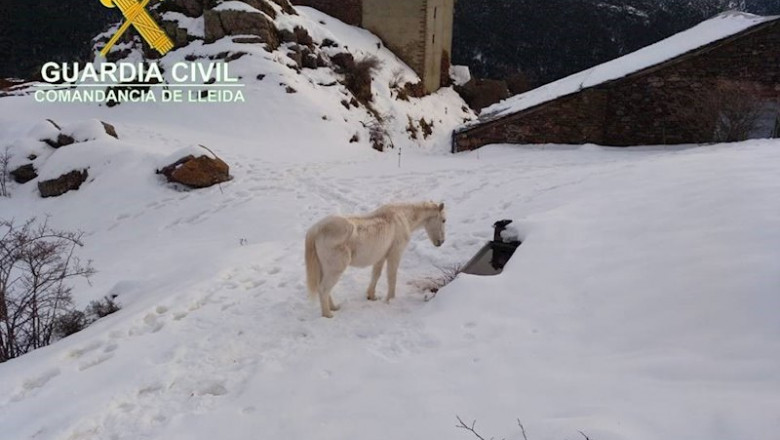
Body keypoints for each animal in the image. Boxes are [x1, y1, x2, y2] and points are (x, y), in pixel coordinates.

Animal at [304, 201, 447, 318]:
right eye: (444, 220)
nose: (441, 242)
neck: (403, 217)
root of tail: (316, 229)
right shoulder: (394, 254)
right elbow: (391, 276)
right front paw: (390, 299)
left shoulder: (381, 257)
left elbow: (376, 275)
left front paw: (371, 296)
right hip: (335, 268)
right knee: (323, 289)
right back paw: (328, 314)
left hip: (324, 268)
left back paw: (333, 307)